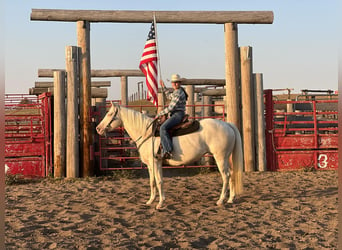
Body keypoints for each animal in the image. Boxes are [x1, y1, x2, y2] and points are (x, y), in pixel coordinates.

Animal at [96, 101, 244, 209]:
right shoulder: (152, 164)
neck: (147, 133)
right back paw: (230, 199)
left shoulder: (156, 162)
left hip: (220, 158)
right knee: (232, 174)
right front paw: (150, 201)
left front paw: (160, 203)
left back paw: (220, 200)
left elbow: (159, 181)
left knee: (226, 176)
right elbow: (153, 182)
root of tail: (228, 125)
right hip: (226, 158)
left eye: (110, 113)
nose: (98, 128)